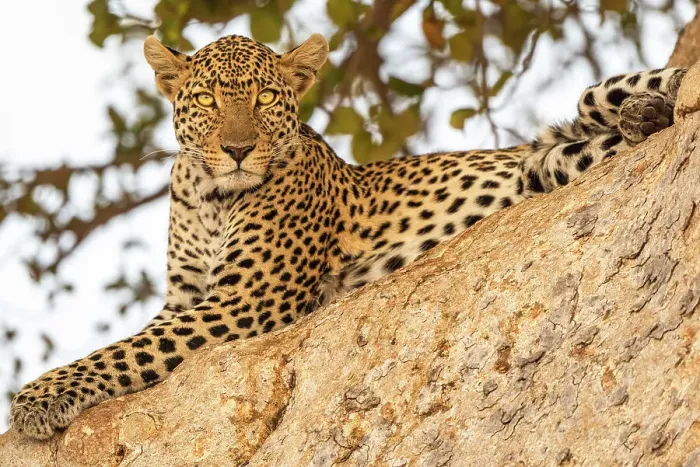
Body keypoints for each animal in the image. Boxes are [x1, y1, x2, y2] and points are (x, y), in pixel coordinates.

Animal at [9, 31, 685, 440]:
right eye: (204, 99)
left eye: (265, 97)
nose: (237, 149)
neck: (210, 199)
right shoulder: (184, 297)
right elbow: (129, 345)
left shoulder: (242, 301)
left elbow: (119, 352)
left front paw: (35, 399)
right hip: (551, 163)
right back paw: (639, 120)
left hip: (593, 99)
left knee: (643, 87)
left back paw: (655, 106)